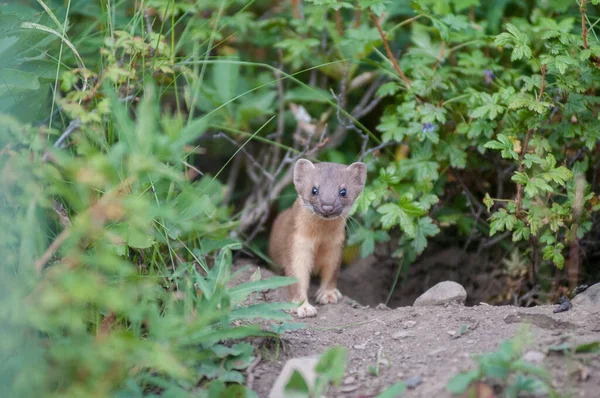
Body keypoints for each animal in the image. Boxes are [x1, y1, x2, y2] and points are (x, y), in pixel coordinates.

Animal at [268, 159, 366, 318]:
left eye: (343, 191)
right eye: (314, 190)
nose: (327, 206)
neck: (319, 240)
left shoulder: (335, 247)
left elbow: (331, 271)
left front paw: (329, 295)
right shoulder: (296, 245)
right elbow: (297, 276)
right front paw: (303, 307)